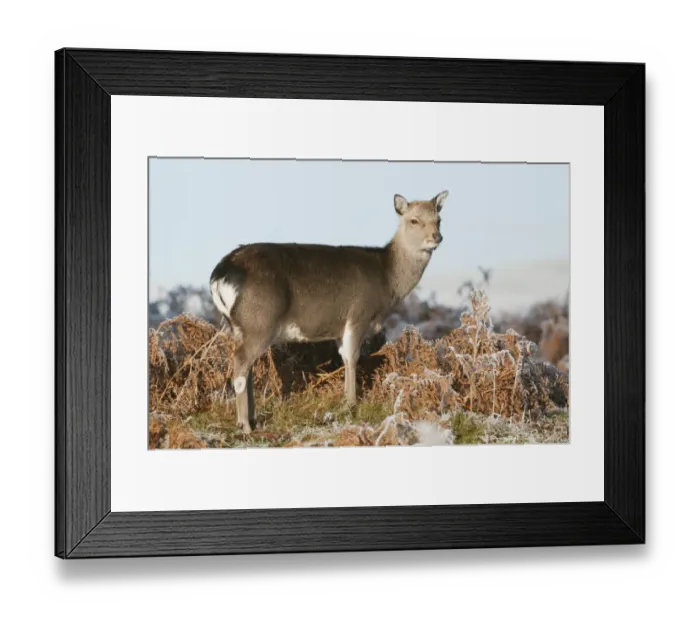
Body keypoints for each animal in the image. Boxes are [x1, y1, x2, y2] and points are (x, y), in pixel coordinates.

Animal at [210, 190, 448, 433]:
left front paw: (345, 402)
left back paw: (251, 419)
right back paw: (245, 425)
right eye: (414, 220)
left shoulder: (339, 328)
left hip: (238, 325)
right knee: (240, 362)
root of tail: (220, 273)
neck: (387, 281)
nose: (436, 237)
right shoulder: (359, 314)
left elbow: (344, 356)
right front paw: (351, 405)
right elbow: (352, 358)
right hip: (259, 321)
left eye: (439, 219)